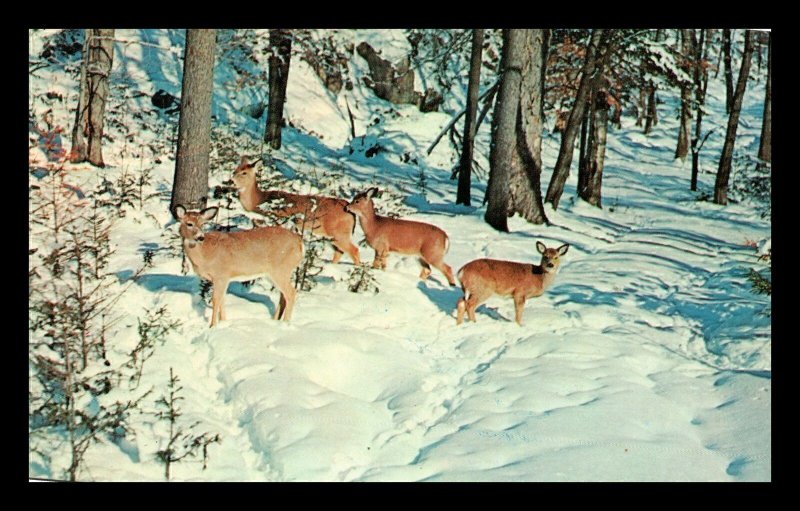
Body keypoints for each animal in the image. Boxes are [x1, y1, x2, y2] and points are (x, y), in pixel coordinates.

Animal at [174, 205, 304, 328]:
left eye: (203, 224)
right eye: (189, 224)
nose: (201, 237)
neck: (205, 253)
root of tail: (300, 243)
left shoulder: (221, 275)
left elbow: (216, 299)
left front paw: (212, 326)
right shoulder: (223, 278)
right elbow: (222, 300)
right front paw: (223, 322)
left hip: (280, 269)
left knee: (291, 293)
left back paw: (285, 324)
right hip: (275, 273)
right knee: (283, 296)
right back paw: (275, 321)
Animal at [228, 156, 360, 266]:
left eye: (244, 173)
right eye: (235, 171)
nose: (231, 181)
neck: (259, 202)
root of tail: (349, 209)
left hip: (339, 232)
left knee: (354, 250)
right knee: (340, 252)